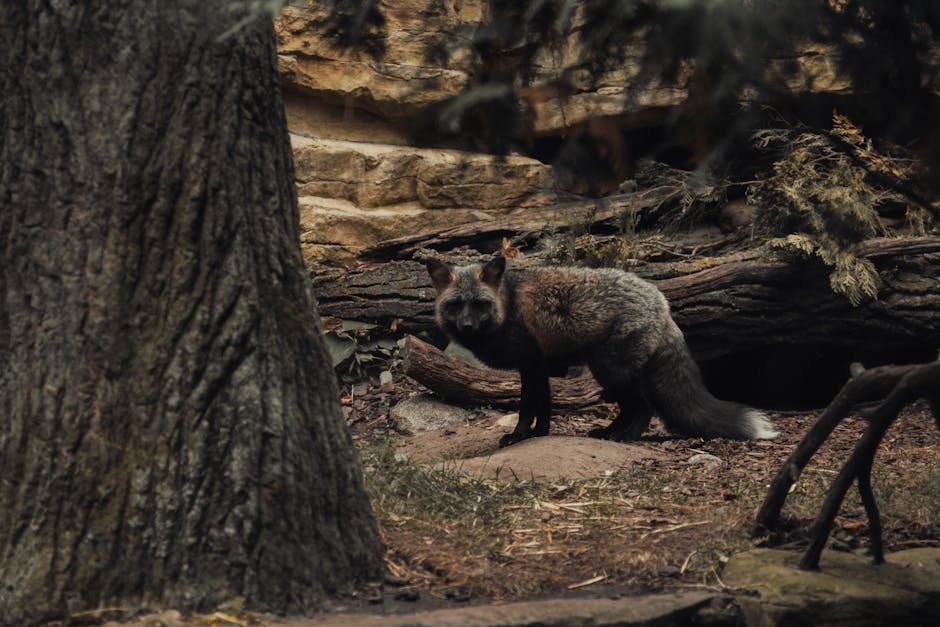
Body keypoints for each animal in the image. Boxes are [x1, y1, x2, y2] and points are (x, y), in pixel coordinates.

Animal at [426, 255, 778, 448]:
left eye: (479, 304)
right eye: (456, 305)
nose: (467, 326)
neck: (507, 304)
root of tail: (662, 303)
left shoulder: (530, 363)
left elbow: (527, 407)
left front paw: (518, 436)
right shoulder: (541, 366)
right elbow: (545, 407)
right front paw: (540, 435)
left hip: (610, 370)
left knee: (645, 408)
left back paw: (627, 436)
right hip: (611, 372)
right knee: (630, 408)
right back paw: (608, 431)